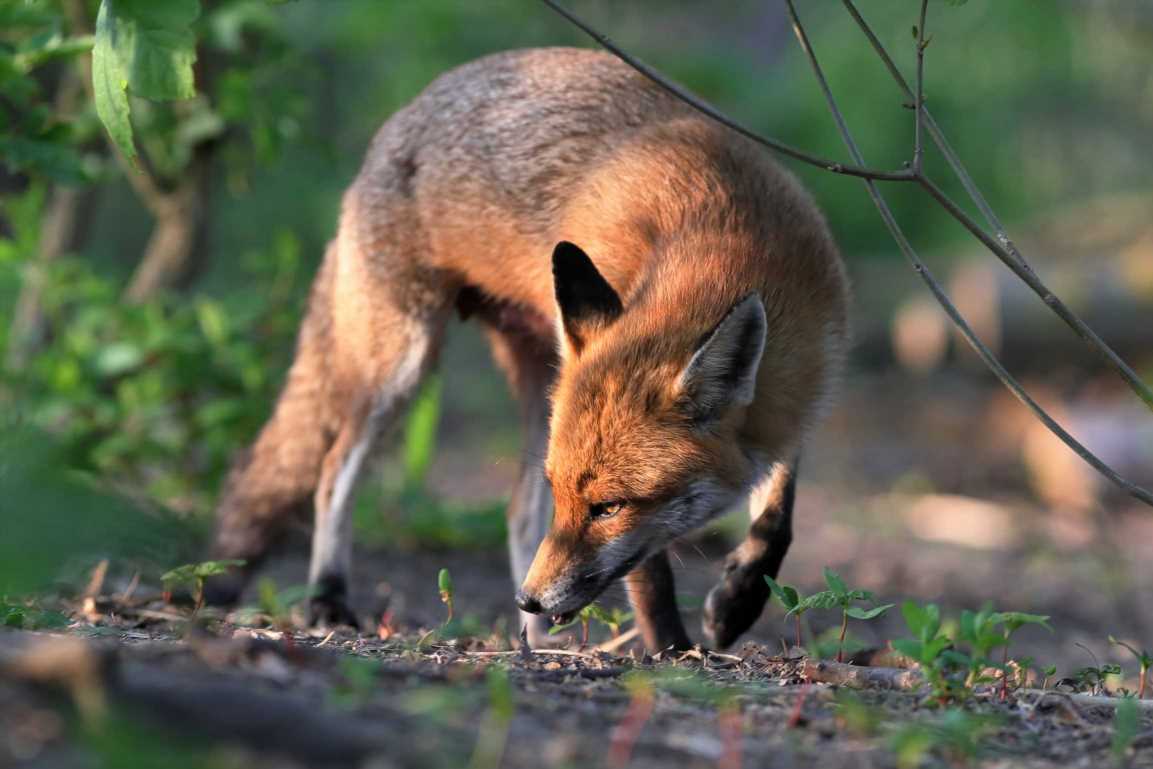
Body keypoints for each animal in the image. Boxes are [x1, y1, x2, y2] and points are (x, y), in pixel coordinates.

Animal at [203, 47, 849, 652]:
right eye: (576, 498)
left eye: (608, 507)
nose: (530, 599)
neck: (732, 240)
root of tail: (403, 115)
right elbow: (650, 574)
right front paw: (673, 649)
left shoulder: (794, 400)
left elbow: (778, 518)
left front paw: (738, 600)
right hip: (401, 363)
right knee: (333, 472)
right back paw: (329, 598)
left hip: (541, 384)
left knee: (514, 512)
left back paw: (533, 639)